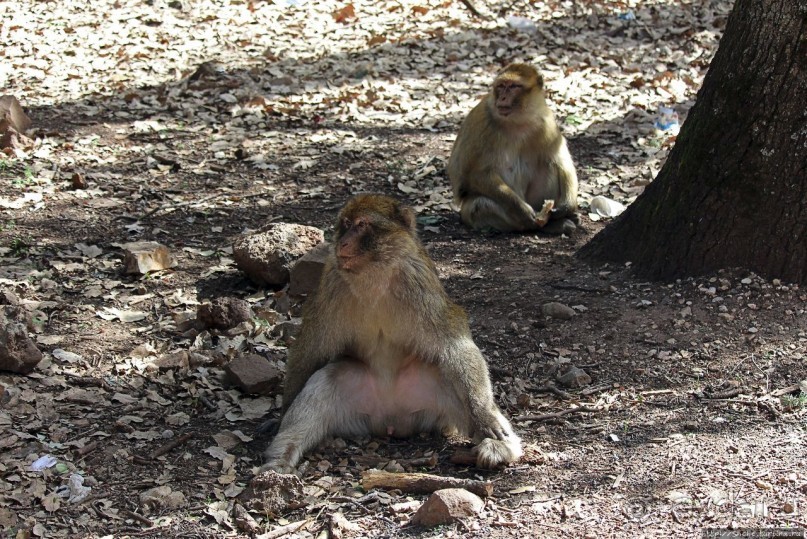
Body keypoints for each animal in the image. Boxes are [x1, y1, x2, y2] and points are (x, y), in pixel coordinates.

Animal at [260, 196, 524, 474]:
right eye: (346, 224)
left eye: (362, 225)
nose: (342, 243)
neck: (375, 274)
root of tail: (392, 419)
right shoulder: (331, 285)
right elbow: (311, 349)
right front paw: (282, 414)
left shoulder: (419, 285)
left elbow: (455, 346)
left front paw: (484, 416)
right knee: (325, 379)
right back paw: (280, 461)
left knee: (450, 374)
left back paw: (499, 447)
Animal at [448, 62, 580, 234]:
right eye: (501, 86)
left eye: (513, 86)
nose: (503, 97)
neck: (517, 121)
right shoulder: (482, 123)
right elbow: (475, 174)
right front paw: (521, 210)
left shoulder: (546, 121)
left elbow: (560, 159)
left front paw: (567, 206)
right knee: (479, 205)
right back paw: (533, 224)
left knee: (550, 164)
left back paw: (552, 222)